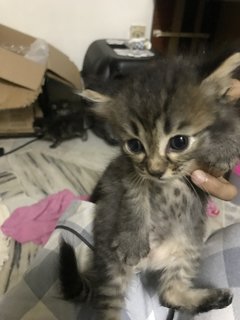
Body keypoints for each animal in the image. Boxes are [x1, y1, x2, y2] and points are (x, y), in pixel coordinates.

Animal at [59, 51, 240, 318]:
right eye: (134, 145)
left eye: (179, 142)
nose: (155, 170)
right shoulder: (127, 171)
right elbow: (134, 199)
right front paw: (133, 239)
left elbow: (233, 126)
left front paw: (224, 148)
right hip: (111, 260)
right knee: (112, 307)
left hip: (190, 245)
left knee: (169, 294)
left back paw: (213, 298)